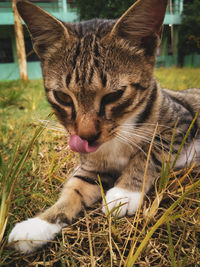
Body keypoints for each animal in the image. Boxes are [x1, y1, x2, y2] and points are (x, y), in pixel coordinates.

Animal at [8, 0, 200, 254]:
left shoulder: (182, 123)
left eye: (114, 95)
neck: (118, 136)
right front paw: (40, 223)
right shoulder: (93, 168)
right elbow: (75, 188)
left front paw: (124, 192)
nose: (85, 137)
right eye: (62, 97)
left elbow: (149, 153)